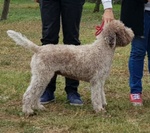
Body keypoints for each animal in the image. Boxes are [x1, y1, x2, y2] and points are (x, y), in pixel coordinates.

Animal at [6, 20, 134, 115]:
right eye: (123, 29)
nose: (132, 33)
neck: (103, 48)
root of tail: (39, 49)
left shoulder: (101, 80)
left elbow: (101, 94)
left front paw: (103, 104)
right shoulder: (96, 80)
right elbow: (96, 96)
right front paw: (99, 109)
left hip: (43, 77)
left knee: (37, 93)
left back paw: (38, 107)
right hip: (42, 76)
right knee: (29, 94)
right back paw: (28, 110)